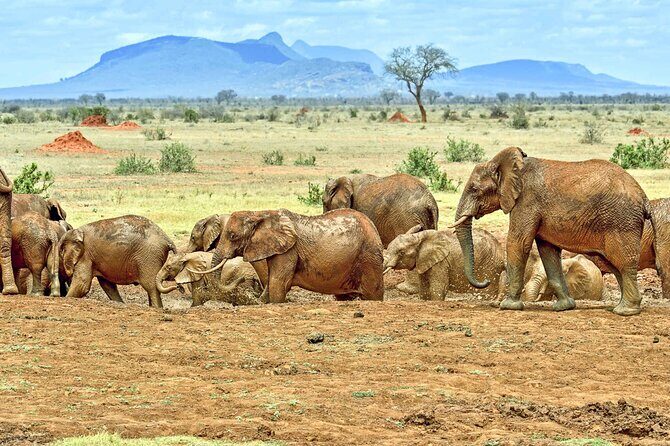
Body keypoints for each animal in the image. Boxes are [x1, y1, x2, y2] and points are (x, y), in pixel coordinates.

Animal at [191, 208, 384, 303]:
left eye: (232, 236)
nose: (245, 280)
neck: (259, 214)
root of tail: (373, 227)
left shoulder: (288, 250)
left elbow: (278, 282)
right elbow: (272, 281)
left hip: (368, 256)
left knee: (373, 293)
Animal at [452, 146, 652, 316]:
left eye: (474, 189)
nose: (485, 281)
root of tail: (644, 198)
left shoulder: (526, 201)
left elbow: (518, 243)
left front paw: (508, 306)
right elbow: (548, 251)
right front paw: (564, 307)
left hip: (622, 221)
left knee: (624, 263)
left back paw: (625, 311)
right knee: (615, 265)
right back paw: (619, 307)